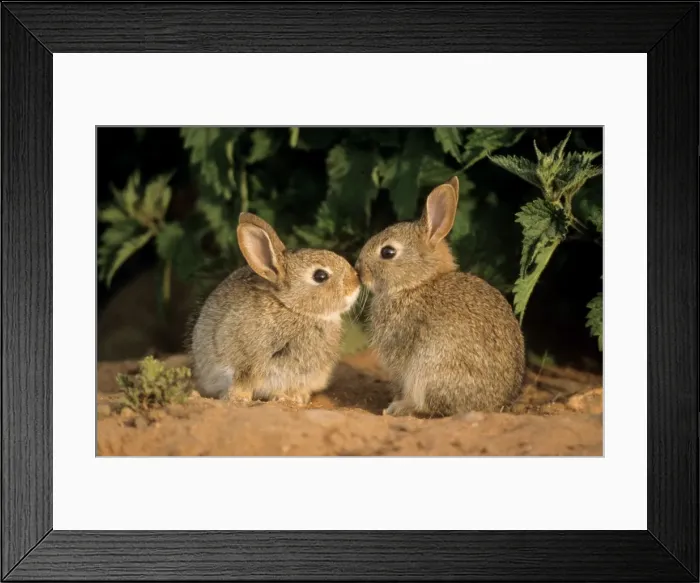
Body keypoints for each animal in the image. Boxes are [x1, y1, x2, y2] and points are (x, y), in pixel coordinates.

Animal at [190, 212, 361, 404]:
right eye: (320, 276)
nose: (356, 282)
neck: (292, 308)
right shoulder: (243, 362)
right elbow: (241, 380)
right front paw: (239, 398)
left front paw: (294, 398)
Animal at [355, 177, 526, 417]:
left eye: (388, 252)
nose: (358, 270)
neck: (417, 283)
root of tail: (492, 405)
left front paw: (393, 405)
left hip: (430, 369)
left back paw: (400, 408)